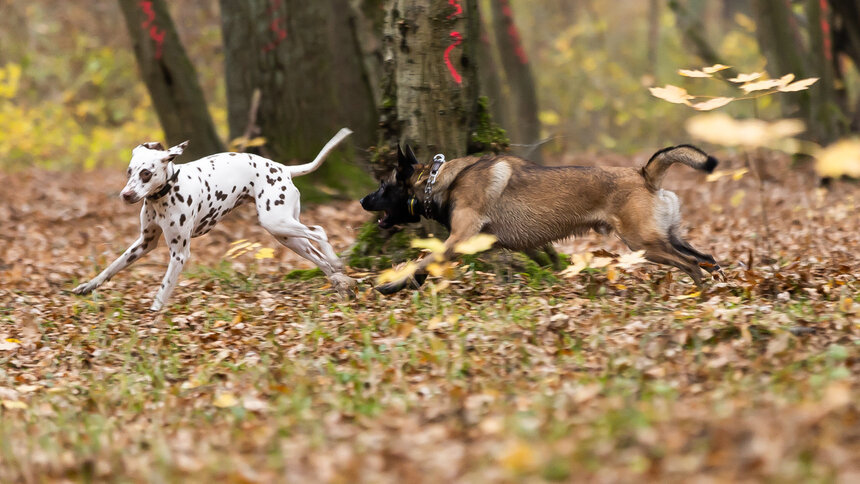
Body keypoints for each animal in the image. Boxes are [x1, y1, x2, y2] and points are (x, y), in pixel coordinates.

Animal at [73, 127, 356, 310]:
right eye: (129, 171)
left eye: (146, 173)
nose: (126, 195)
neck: (165, 193)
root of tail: (284, 168)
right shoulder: (144, 243)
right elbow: (112, 266)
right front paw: (88, 285)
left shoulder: (179, 254)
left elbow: (164, 288)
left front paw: (154, 315)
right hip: (286, 235)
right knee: (319, 258)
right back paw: (340, 282)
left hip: (276, 222)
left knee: (319, 230)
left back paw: (336, 263)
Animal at [360, 146, 724, 294]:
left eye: (383, 186)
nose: (363, 201)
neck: (439, 180)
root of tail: (644, 174)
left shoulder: (460, 237)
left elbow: (424, 260)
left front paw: (392, 285)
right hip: (664, 238)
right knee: (707, 258)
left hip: (645, 244)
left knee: (691, 264)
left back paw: (699, 294)